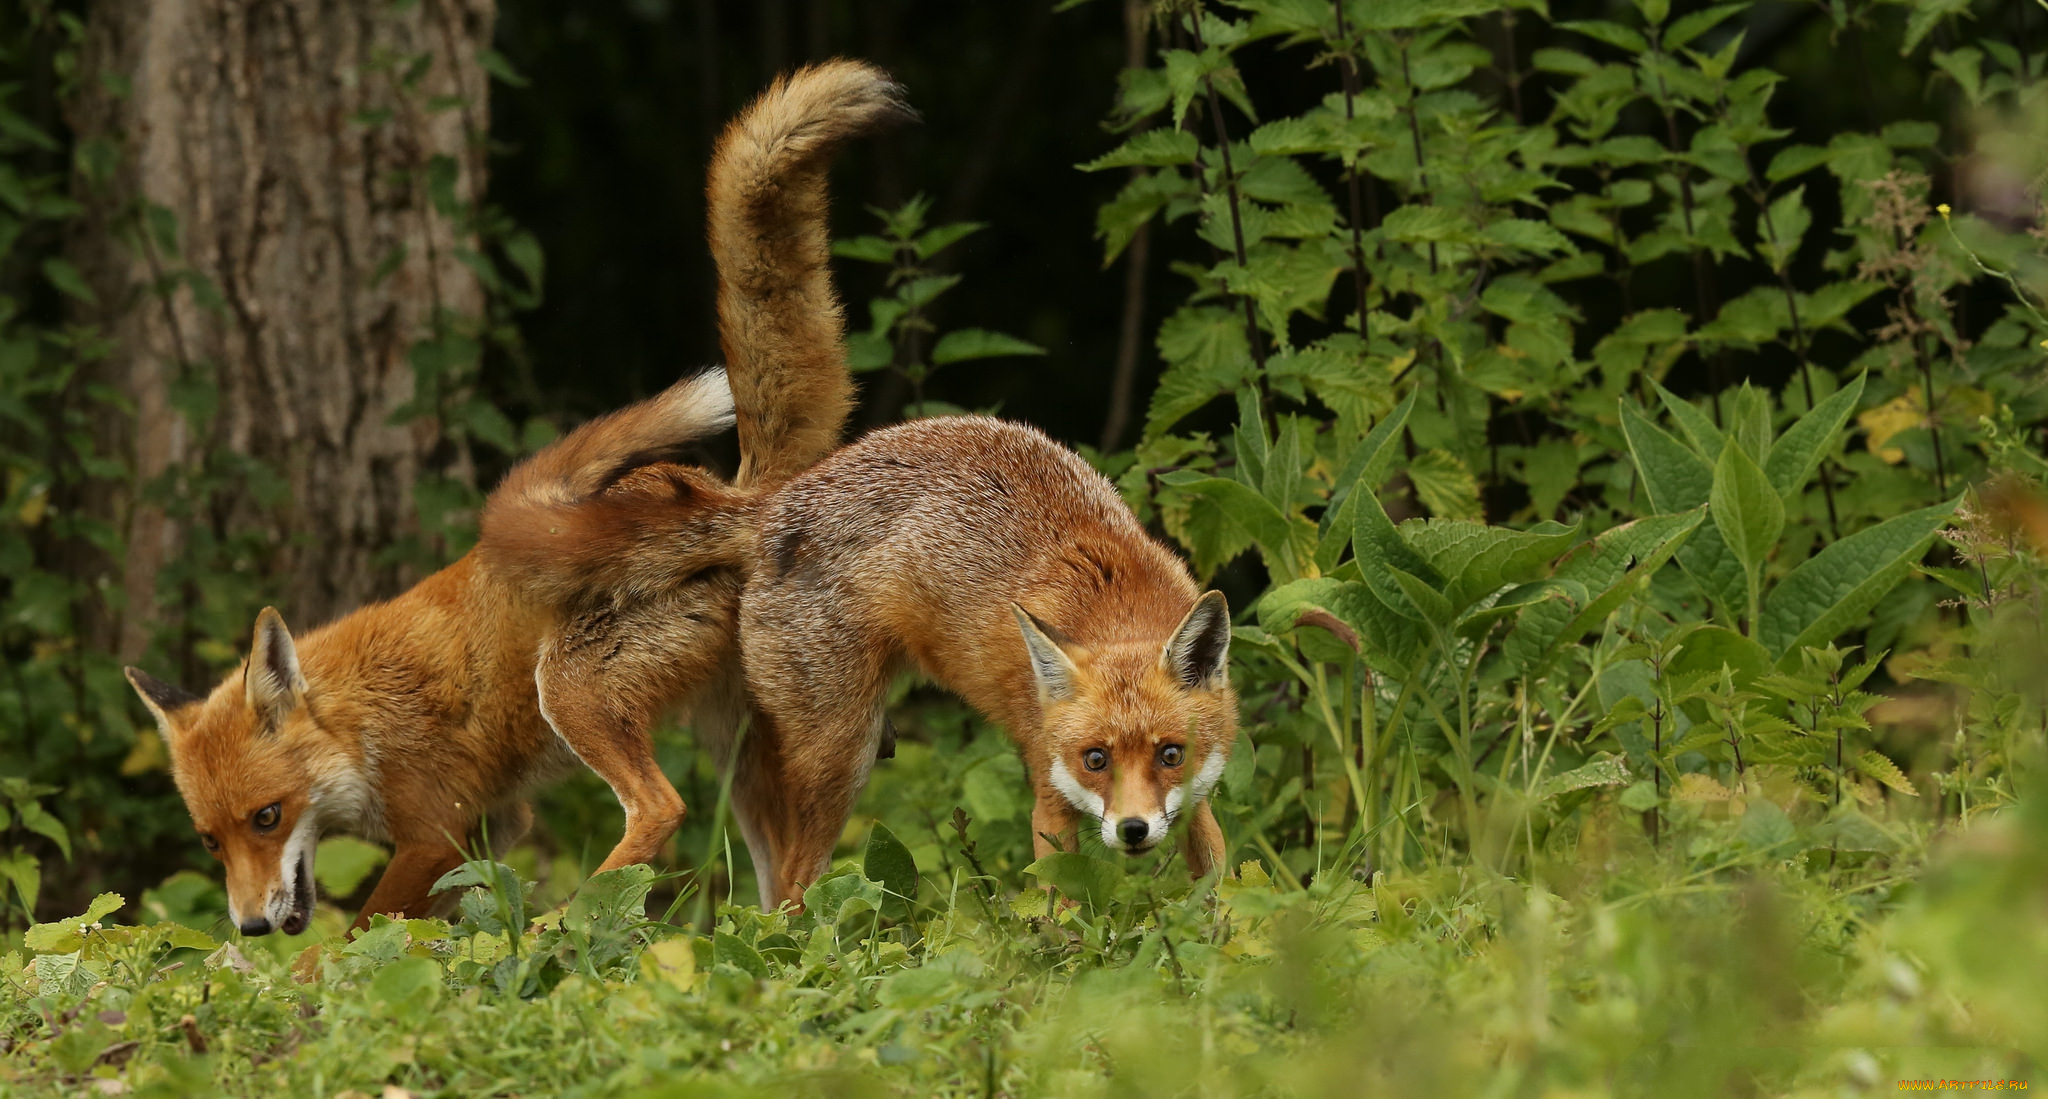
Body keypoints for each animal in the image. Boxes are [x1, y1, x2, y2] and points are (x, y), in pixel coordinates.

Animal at [119, 62, 905, 933]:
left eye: (268, 815)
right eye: (211, 839)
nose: (254, 926)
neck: (362, 723)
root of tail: (735, 498)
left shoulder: (438, 827)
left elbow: (356, 935)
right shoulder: (494, 828)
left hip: (574, 691)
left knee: (660, 811)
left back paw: (564, 923)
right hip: (742, 750)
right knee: (789, 881)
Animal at [741, 415, 1236, 904]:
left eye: (1171, 754)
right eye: (1095, 759)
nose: (1133, 829)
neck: (1116, 608)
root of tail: (769, 506)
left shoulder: (1193, 796)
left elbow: (1219, 883)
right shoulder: (1049, 794)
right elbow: (1061, 906)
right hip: (844, 756)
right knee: (792, 879)